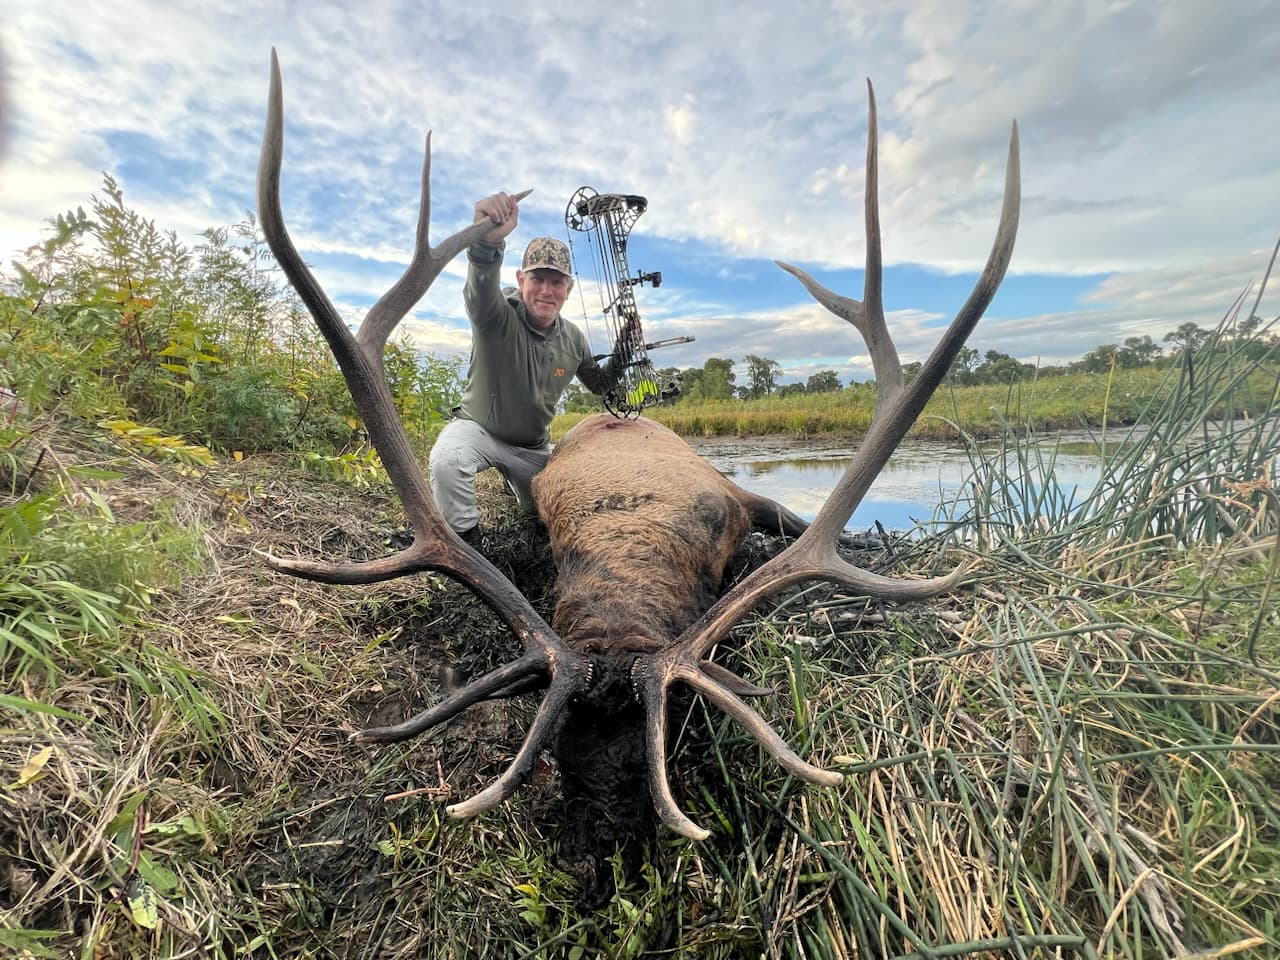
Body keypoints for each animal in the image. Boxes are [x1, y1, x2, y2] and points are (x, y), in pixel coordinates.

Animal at [256, 49, 1020, 843]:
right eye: (558, 741)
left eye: (668, 726)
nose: (602, 839)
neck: (631, 552)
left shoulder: (732, 498)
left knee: (794, 517)